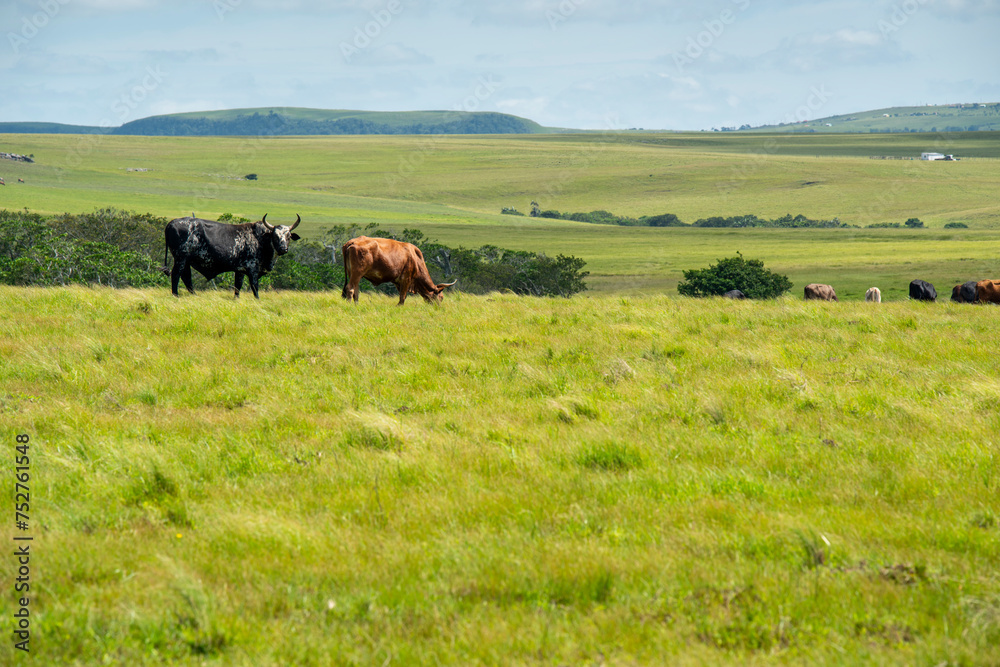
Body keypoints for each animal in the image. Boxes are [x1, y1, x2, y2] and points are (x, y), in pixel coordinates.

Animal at [160, 215, 298, 298]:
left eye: (288, 236)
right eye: (275, 236)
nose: (283, 249)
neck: (260, 239)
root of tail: (171, 223)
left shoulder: (240, 270)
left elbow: (238, 286)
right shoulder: (252, 269)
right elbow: (255, 287)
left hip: (186, 261)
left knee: (186, 277)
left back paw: (194, 295)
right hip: (181, 259)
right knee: (176, 275)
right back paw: (176, 295)